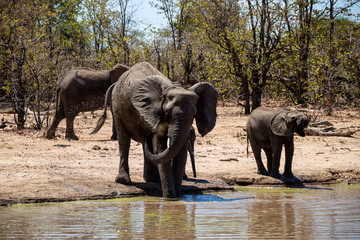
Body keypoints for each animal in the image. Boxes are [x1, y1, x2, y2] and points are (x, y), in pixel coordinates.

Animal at [91, 61, 218, 197]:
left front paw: (176, 196)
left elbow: (180, 152)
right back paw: (124, 181)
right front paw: (170, 196)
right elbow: (160, 146)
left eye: (195, 114)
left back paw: (152, 179)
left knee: (144, 143)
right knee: (124, 140)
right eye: (167, 113)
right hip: (117, 106)